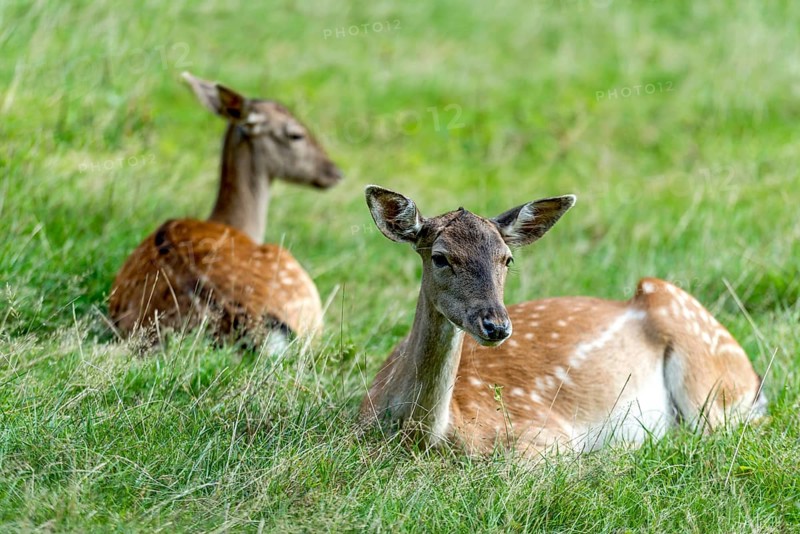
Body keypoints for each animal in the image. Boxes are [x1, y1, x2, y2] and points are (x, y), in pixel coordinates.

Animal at [359, 186, 767, 457]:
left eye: (507, 259)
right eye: (441, 257)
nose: (496, 325)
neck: (430, 436)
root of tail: (753, 375)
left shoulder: (546, 434)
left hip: (709, 382)